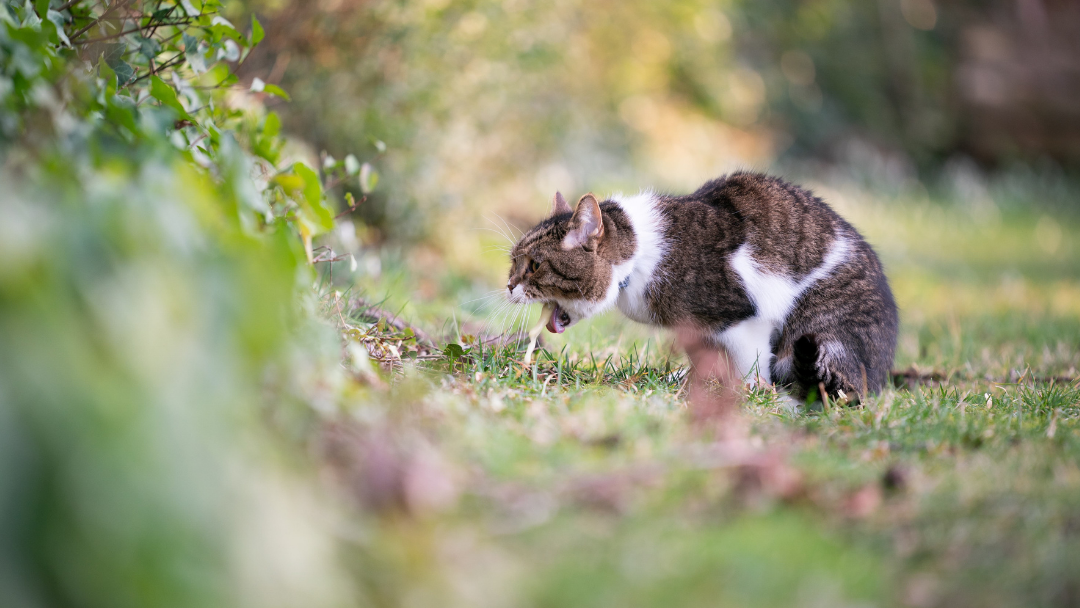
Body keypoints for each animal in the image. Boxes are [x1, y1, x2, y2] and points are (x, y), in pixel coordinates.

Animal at [509, 171, 898, 399]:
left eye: (534, 265)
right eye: (513, 261)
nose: (509, 285)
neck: (640, 256)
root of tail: (881, 371)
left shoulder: (744, 321)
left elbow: (749, 366)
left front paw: (746, 393)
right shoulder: (697, 330)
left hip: (820, 330)